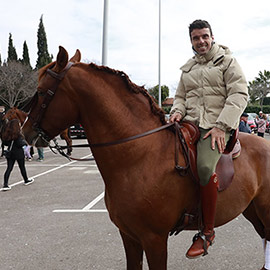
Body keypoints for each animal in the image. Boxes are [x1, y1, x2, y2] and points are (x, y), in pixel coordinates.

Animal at [22, 45, 270, 268]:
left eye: (42, 91)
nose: (25, 133)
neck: (139, 156)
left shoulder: (154, 239)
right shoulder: (129, 236)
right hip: (251, 210)